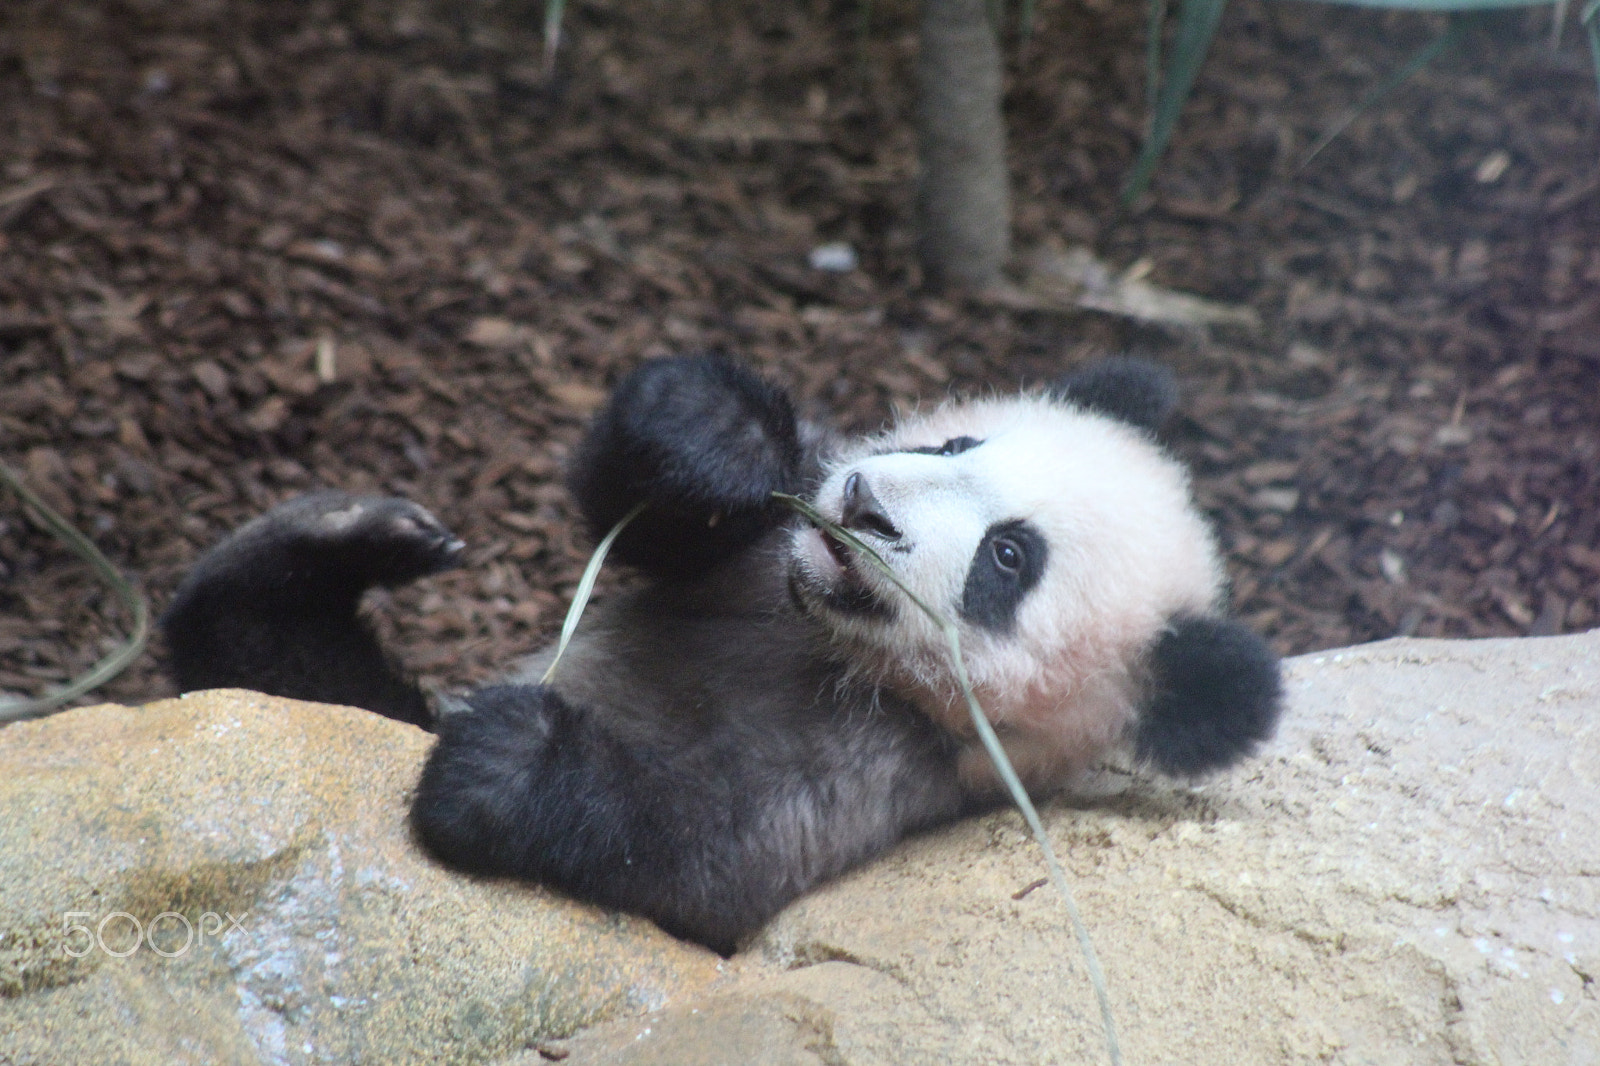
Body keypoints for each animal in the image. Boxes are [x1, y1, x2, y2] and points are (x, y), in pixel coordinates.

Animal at [163, 354, 1281, 954]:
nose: (862, 504)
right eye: (959, 444)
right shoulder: (755, 555)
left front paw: (513, 759)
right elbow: (647, 507)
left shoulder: (891, 772)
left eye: (1008, 559)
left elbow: (705, 854)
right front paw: (718, 436)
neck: (819, 635)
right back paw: (355, 539)